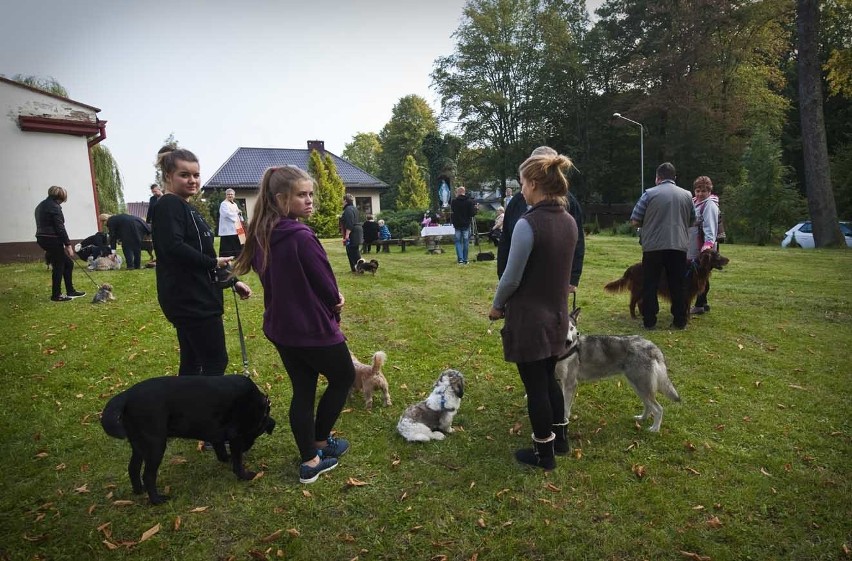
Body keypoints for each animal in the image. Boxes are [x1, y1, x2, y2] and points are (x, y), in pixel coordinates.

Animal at [99, 376, 274, 504]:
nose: (246, 448)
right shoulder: (236, 434)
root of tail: (126, 395)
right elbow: (237, 461)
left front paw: (226, 458)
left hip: (139, 444)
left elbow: (220, 449)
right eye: (257, 433)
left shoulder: (216, 431)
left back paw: (139, 491)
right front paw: (245, 475)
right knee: (148, 475)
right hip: (155, 445)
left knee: (133, 468)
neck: (258, 404)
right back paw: (156, 500)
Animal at [556, 306, 684, 434]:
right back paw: (641, 419)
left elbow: (565, 409)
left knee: (658, 409)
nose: (568, 342)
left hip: (642, 387)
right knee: (648, 406)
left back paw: (654, 429)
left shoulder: (570, 384)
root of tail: (652, 345)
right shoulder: (562, 383)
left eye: (571, 328)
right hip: (637, 387)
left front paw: (564, 423)